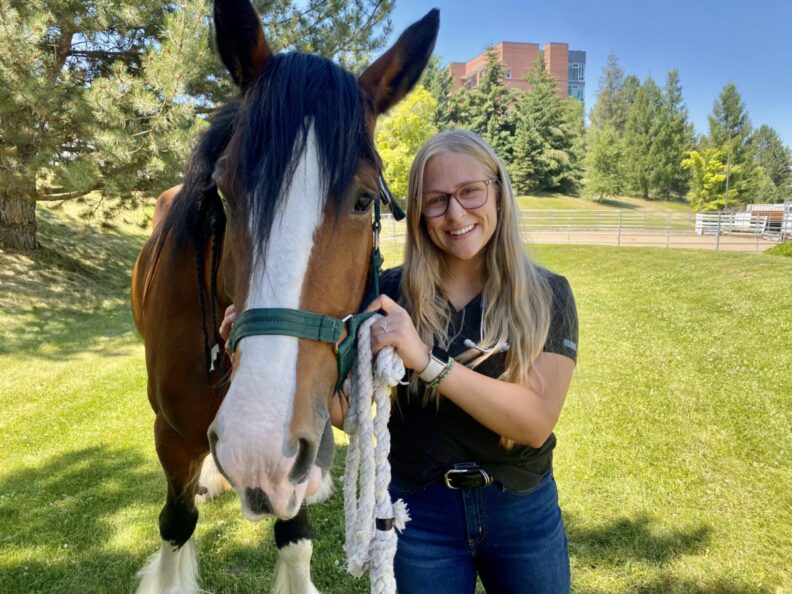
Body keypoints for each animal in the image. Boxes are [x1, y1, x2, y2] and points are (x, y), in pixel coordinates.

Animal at [130, 0, 439, 591]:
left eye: (364, 200)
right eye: (225, 193)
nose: (255, 446)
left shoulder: (299, 453)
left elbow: (294, 538)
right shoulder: (170, 436)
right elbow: (176, 524)